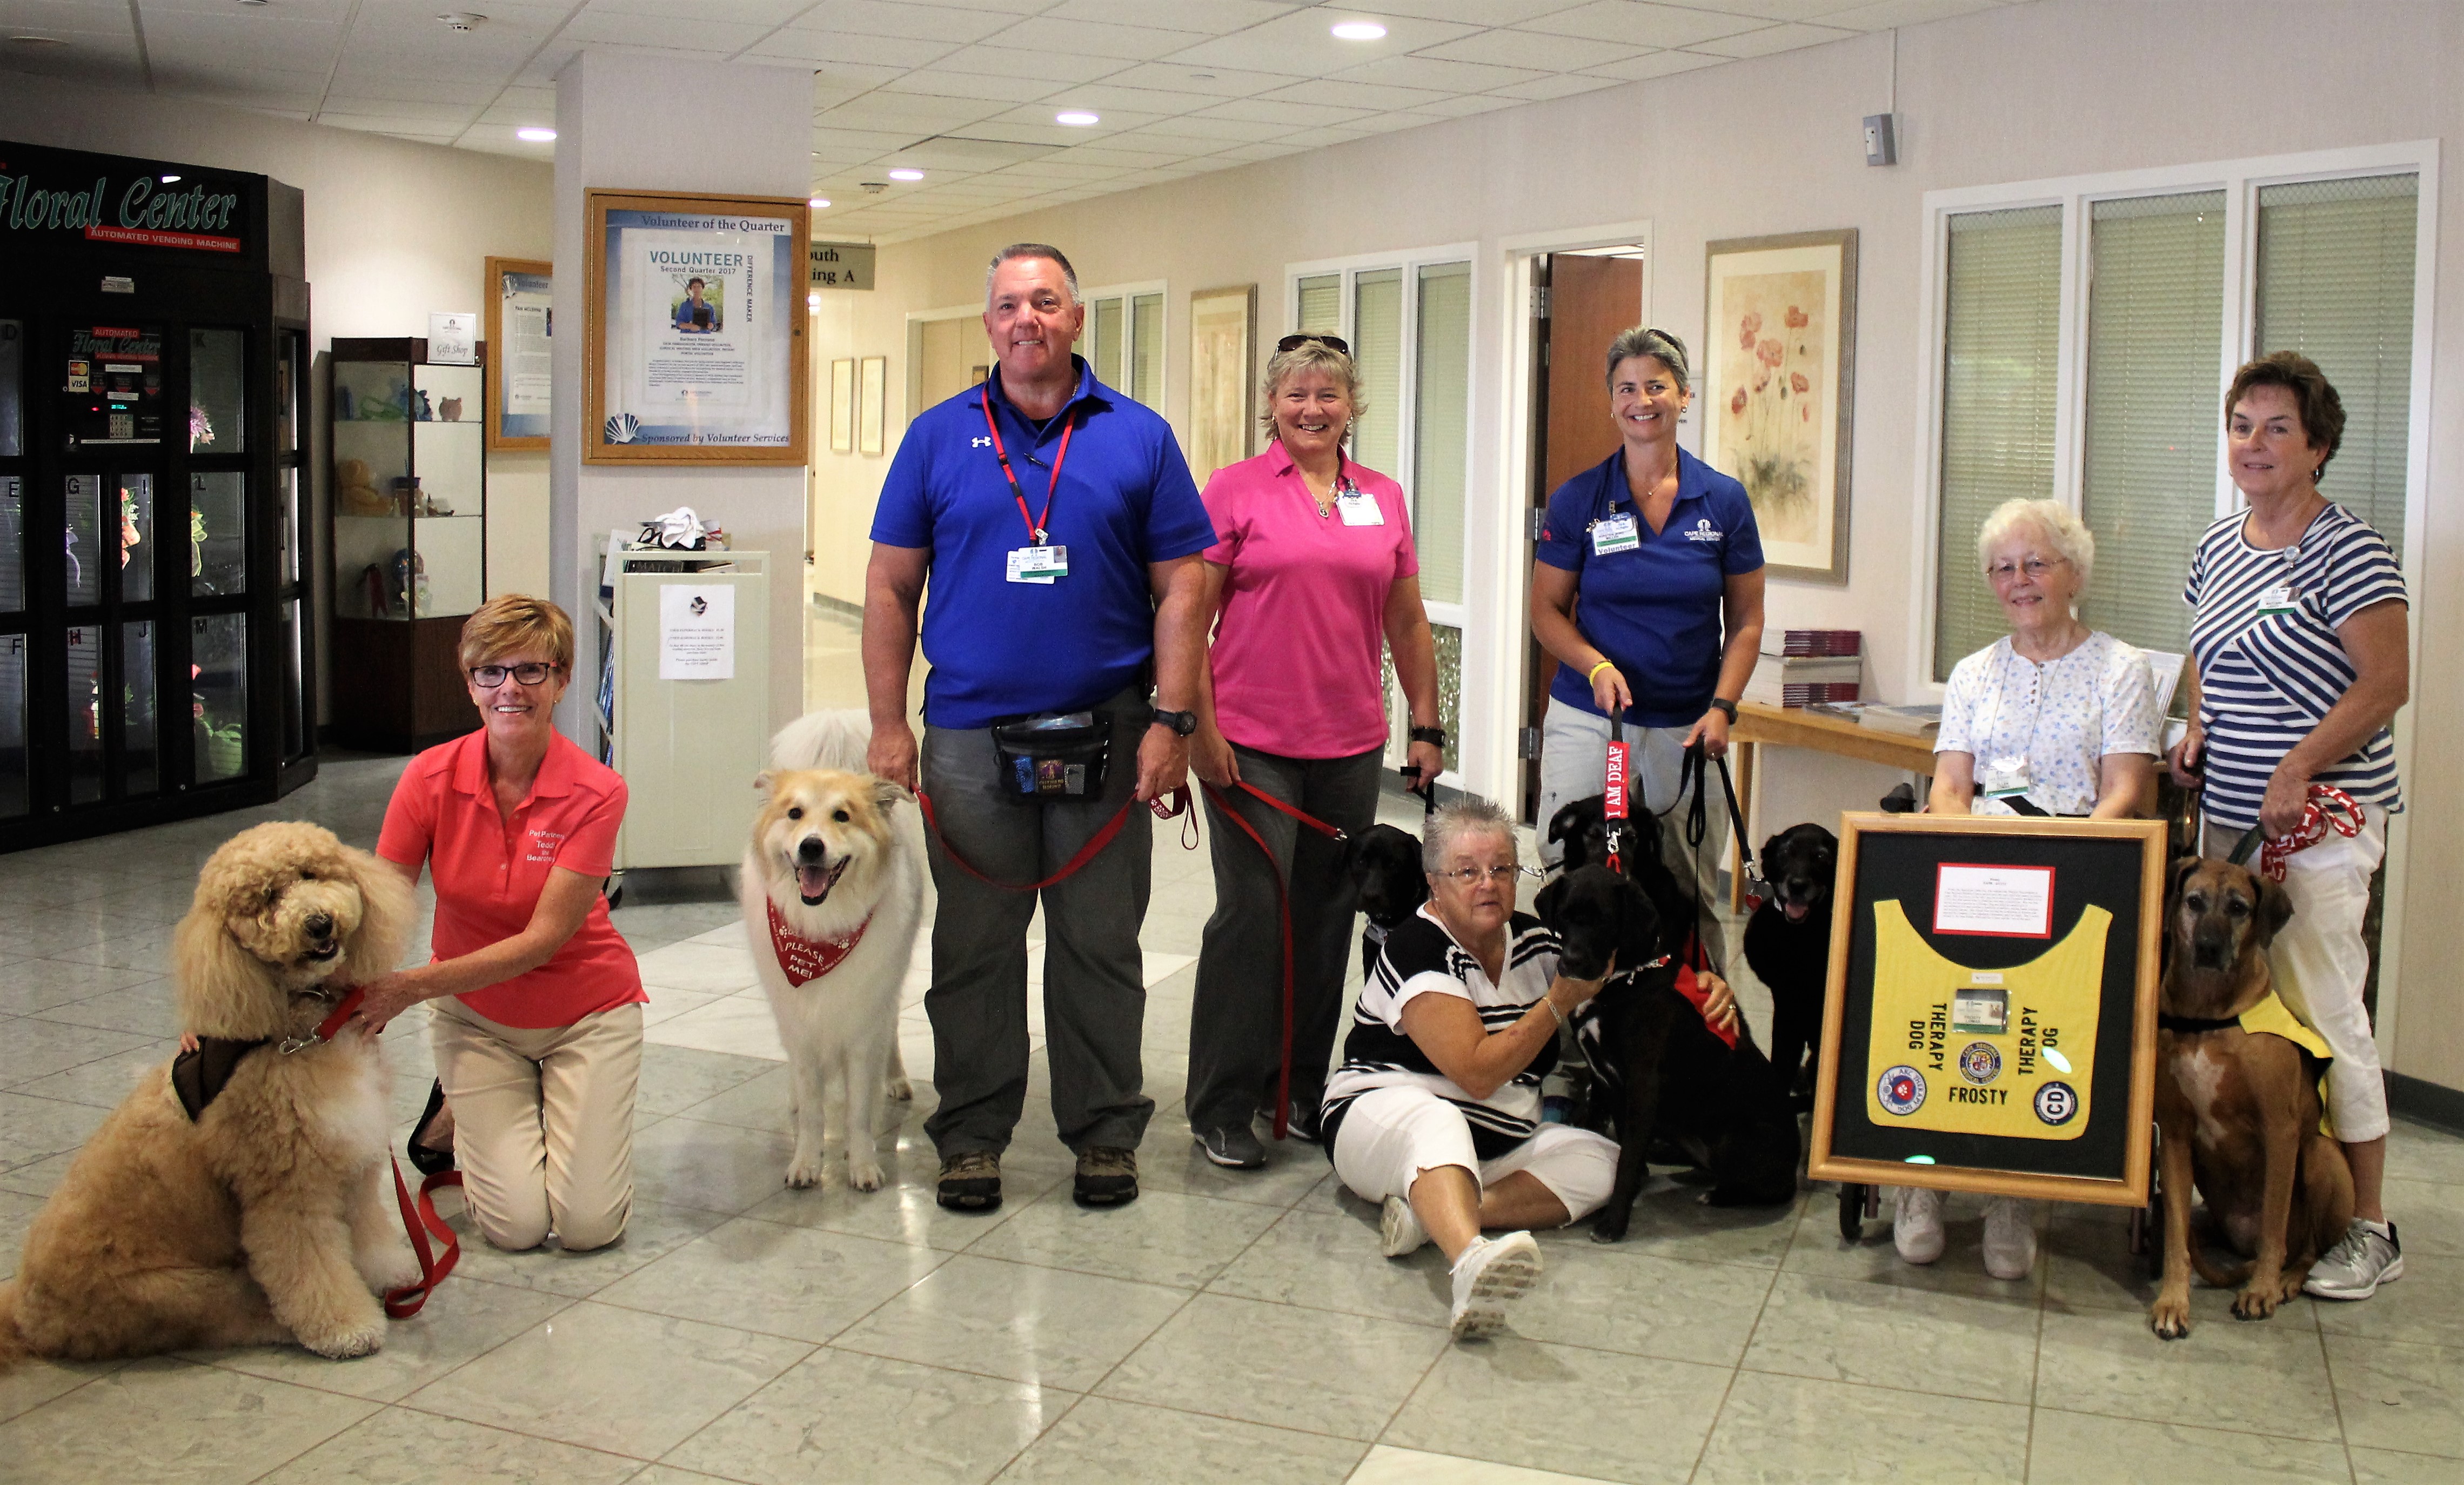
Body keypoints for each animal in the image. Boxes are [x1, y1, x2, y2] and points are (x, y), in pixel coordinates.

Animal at [0, 817, 416, 1369]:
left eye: (310, 873)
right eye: (267, 899)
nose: (318, 923)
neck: (301, 1027)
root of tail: (25, 1318)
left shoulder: (351, 1156)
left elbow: (367, 1226)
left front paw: (389, 1273)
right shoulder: (287, 1187)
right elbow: (311, 1265)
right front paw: (346, 1327)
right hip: (181, 1291)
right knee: (241, 1314)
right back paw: (283, 1325)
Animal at [2158, 852, 2346, 1340]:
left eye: (2239, 908)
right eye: (2194, 901)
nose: (2208, 947)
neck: (2207, 1016)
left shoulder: (2280, 1131)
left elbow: (2274, 1225)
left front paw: (2261, 1291)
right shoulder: (2176, 1134)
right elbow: (2175, 1235)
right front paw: (2172, 1301)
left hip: (2318, 1156)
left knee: (2307, 1247)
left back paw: (2285, 1280)